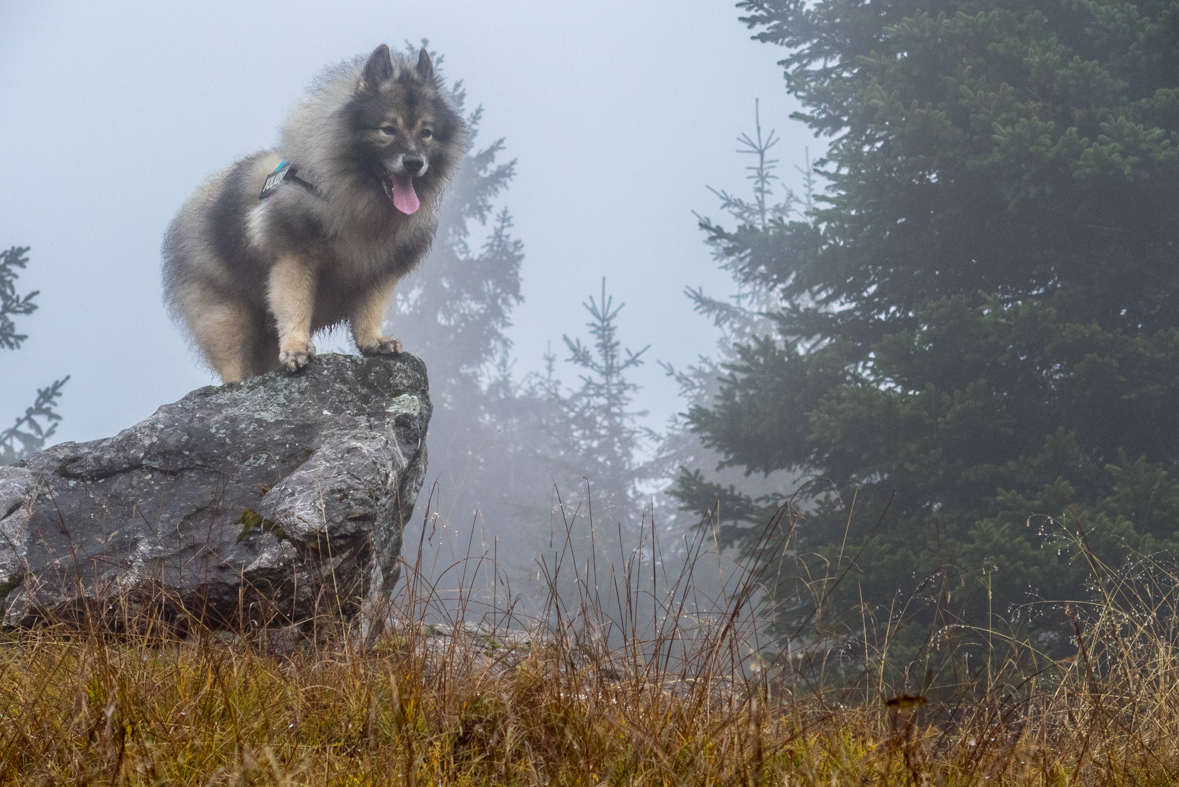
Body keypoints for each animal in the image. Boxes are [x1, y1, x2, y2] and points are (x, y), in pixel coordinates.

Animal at [161, 44, 464, 381]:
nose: (414, 162)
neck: (358, 203)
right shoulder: (295, 256)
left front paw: (373, 341)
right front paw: (297, 348)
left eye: (427, 133)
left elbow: (369, 310)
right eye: (388, 129)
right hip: (226, 315)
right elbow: (295, 304)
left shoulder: (380, 270)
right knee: (233, 363)